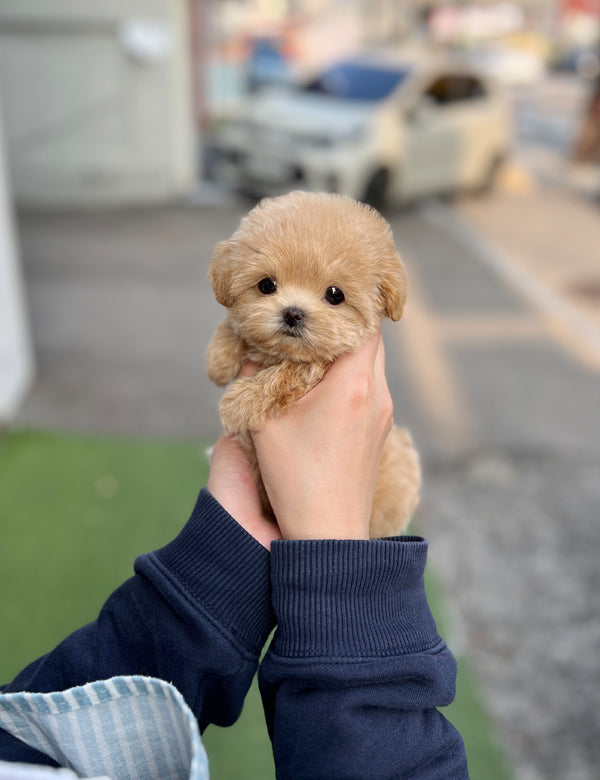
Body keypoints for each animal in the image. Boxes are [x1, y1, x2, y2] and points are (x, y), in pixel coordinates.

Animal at [206, 192, 422, 540]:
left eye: (335, 295)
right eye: (266, 285)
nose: (293, 313)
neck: (280, 353)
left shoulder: (320, 365)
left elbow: (291, 373)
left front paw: (240, 401)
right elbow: (235, 326)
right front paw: (219, 358)